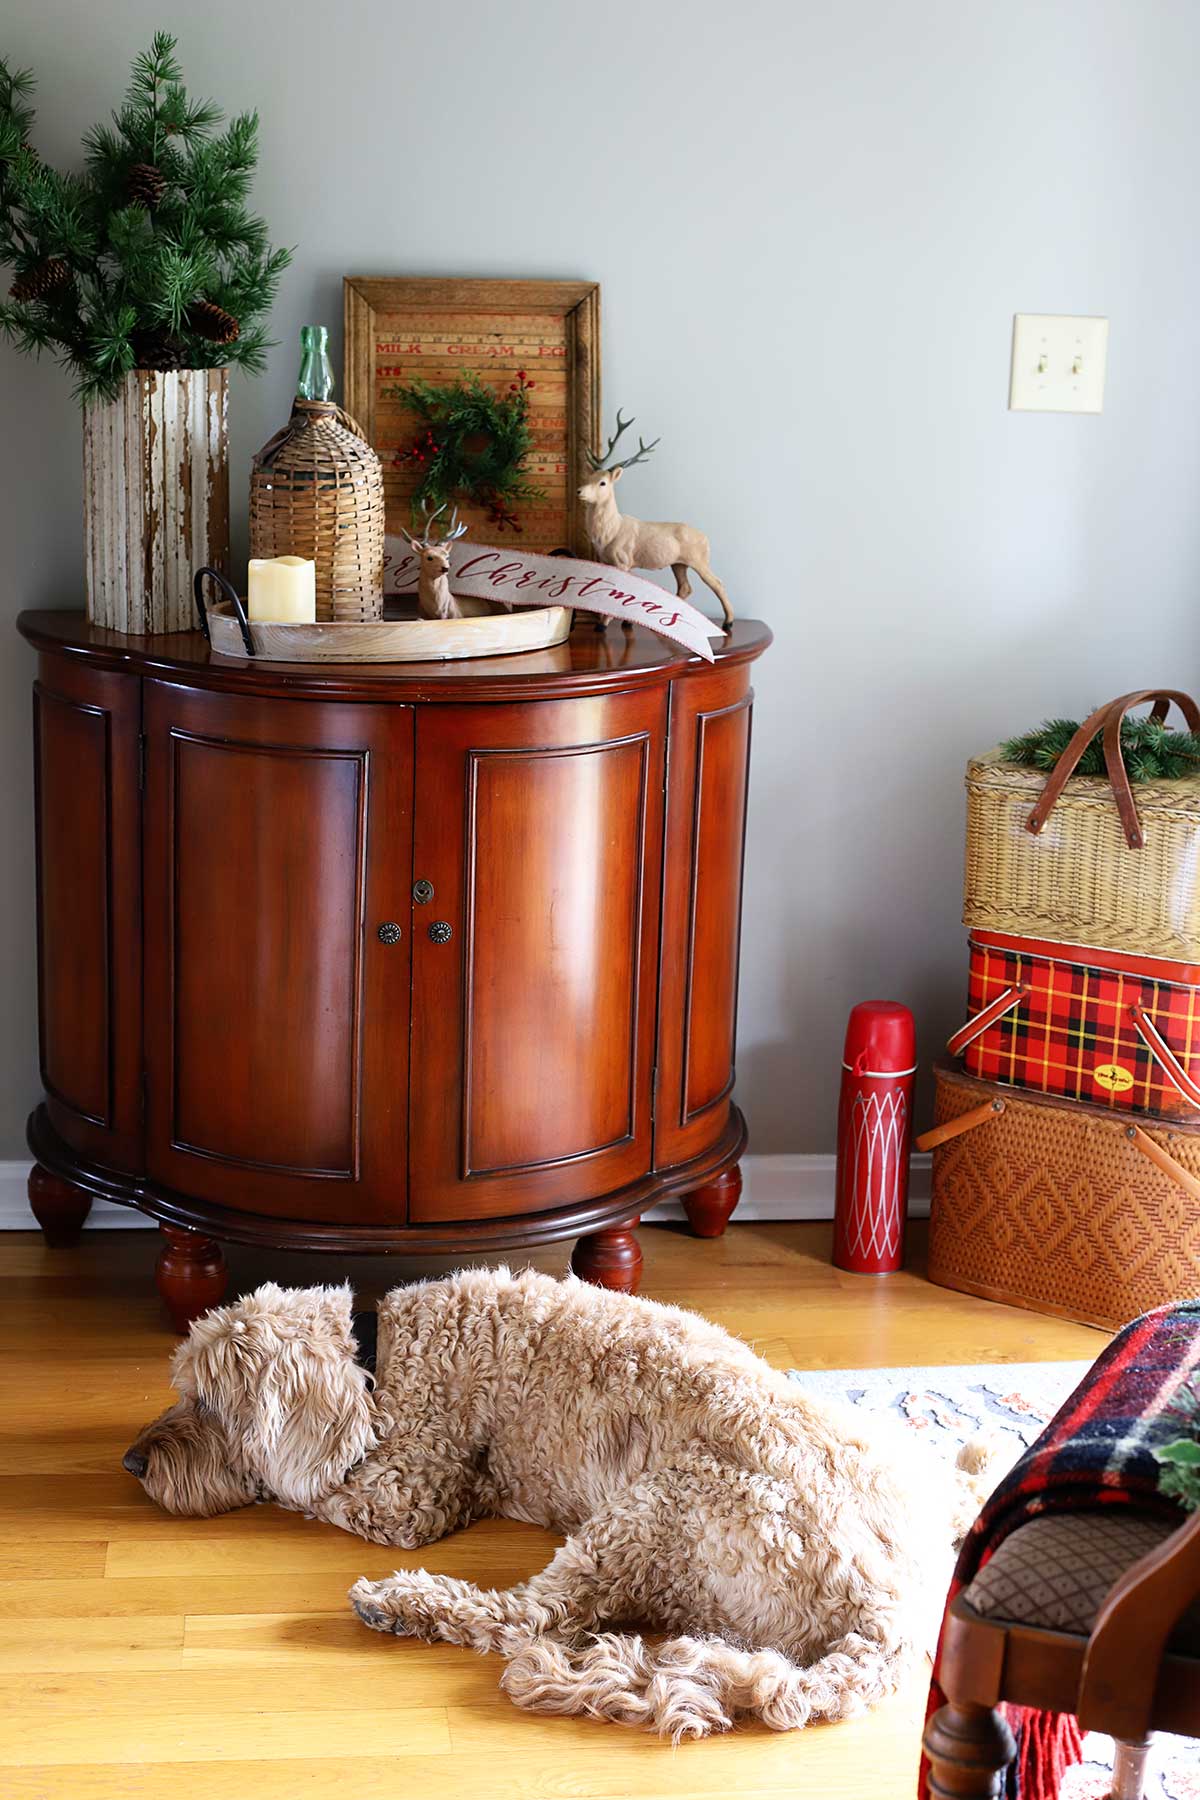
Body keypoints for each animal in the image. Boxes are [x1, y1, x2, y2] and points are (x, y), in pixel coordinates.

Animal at [126, 1267, 1000, 1742]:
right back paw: (976, 1458)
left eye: (209, 1403)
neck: (377, 1356)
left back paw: (402, 1604)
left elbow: (317, 1491)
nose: (134, 1462)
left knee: (528, 1619)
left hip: (656, 1507)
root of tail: (886, 1611)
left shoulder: (407, 1494)